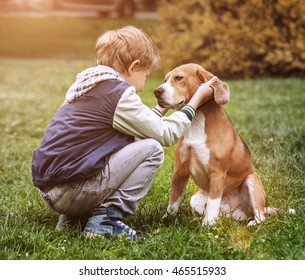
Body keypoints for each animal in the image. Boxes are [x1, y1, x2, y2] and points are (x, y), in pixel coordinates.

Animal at [153, 63, 294, 225]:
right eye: (165, 79)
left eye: (178, 78)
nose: (157, 92)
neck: (196, 122)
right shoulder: (180, 171)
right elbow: (174, 201)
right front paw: (167, 220)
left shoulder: (217, 173)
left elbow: (213, 203)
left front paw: (208, 227)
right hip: (196, 199)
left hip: (252, 180)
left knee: (260, 217)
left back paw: (251, 223)